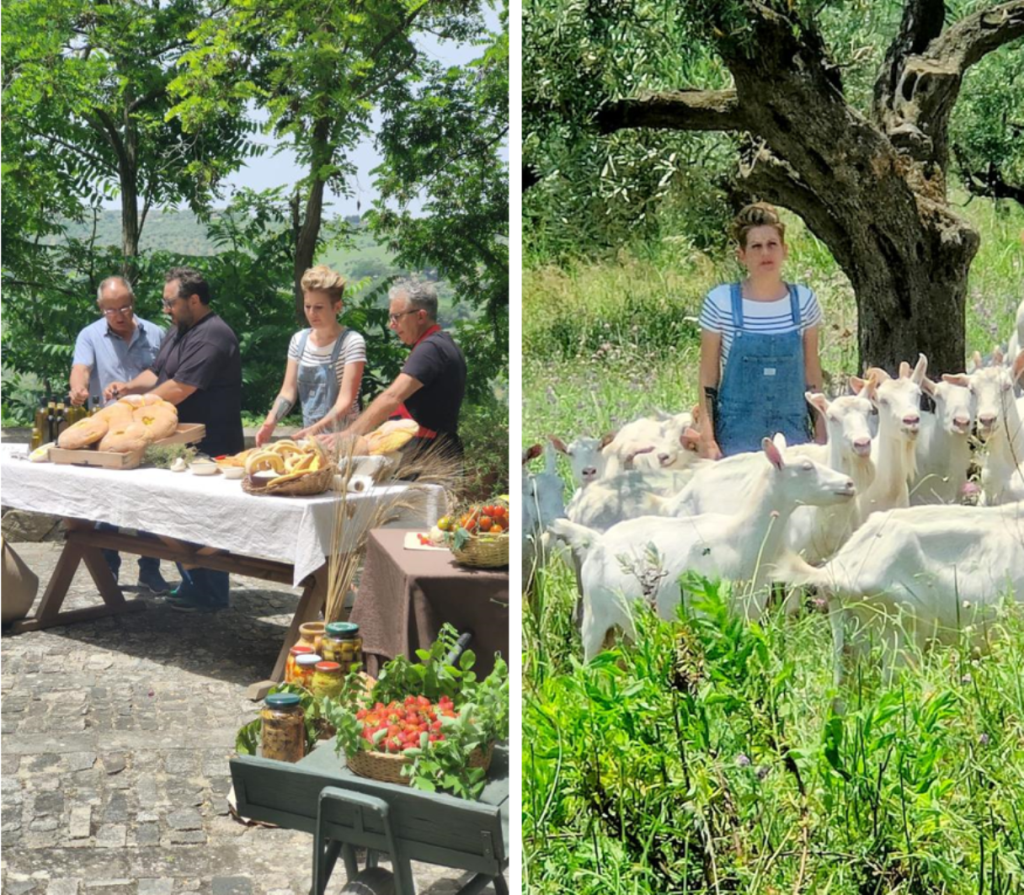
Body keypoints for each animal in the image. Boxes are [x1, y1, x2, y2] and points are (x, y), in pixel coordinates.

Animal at [552, 436, 856, 659]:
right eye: (806, 467)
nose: (849, 484)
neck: (741, 539)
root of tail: (596, 541)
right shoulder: (707, 617)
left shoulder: (748, 615)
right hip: (595, 622)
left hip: (625, 629)